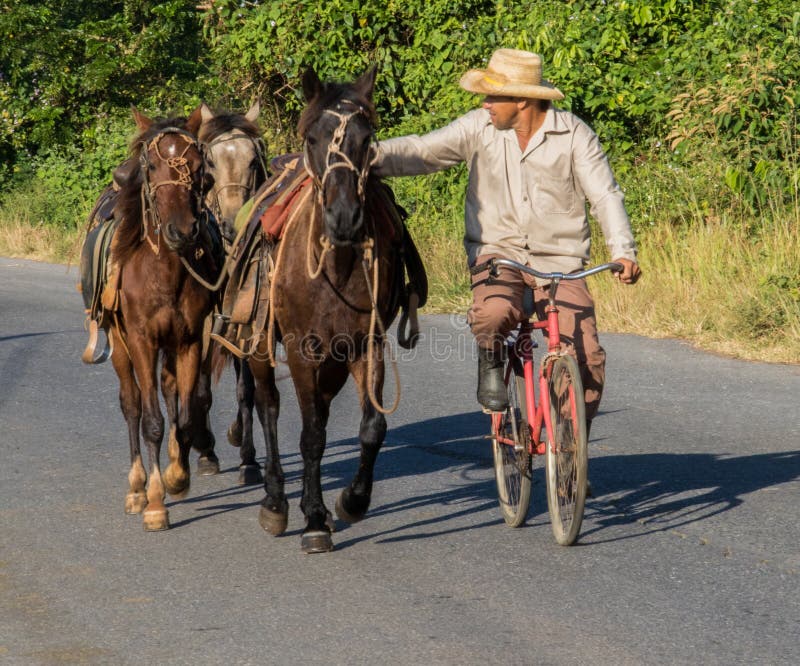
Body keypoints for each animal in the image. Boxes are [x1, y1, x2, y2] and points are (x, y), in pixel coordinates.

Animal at [101, 107, 225, 528]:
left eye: (200, 167)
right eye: (152, 166)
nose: (181, 231)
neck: (165, 272)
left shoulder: (189, 341)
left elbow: (184, 418)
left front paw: (177, 476)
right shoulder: (141, 340)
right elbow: (151, 421)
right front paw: (155, 502)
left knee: (170, 392)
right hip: (120, 345)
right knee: (132, 404)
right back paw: (137, 487)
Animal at [247, 65, 404, 552]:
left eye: (367, 138)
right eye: (313, 138)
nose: (344, 219)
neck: (335, 266)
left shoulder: (366, 346)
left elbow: (372, 428)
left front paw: (351, 500)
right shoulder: (302, 350)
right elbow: (312, 434)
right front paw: (314, 518)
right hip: (260, 345)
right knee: (268, 406)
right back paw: (275, 500)